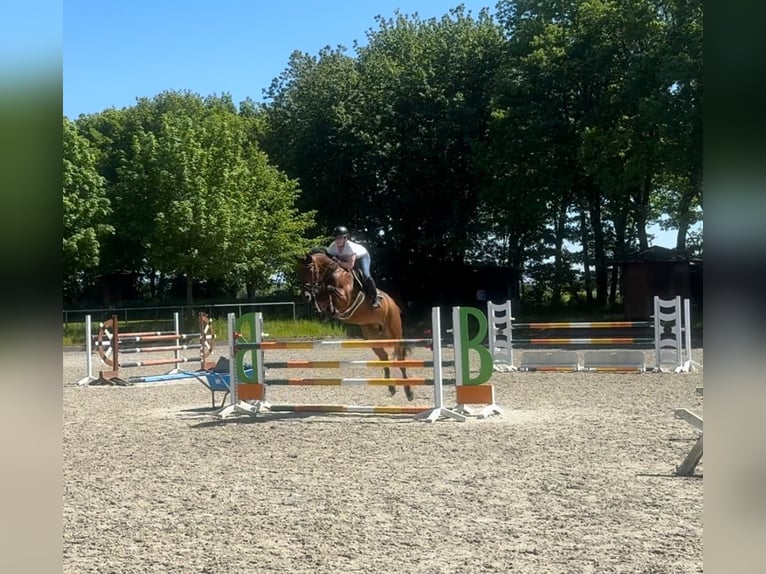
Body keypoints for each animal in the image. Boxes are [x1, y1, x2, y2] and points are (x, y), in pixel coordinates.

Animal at [296, 250, 414, 402]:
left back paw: (409, 392)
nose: (306, 296)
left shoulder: (345, 299)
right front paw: (321, 308)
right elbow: (322, 295)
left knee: (400, 358)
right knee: (384, 357)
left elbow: (330, 290)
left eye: (310, 269)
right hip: (372, 337)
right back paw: (391, 388)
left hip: (394, 333)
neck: (332, 274)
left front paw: (330, 307)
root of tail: (394, 304)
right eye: (299, 272)